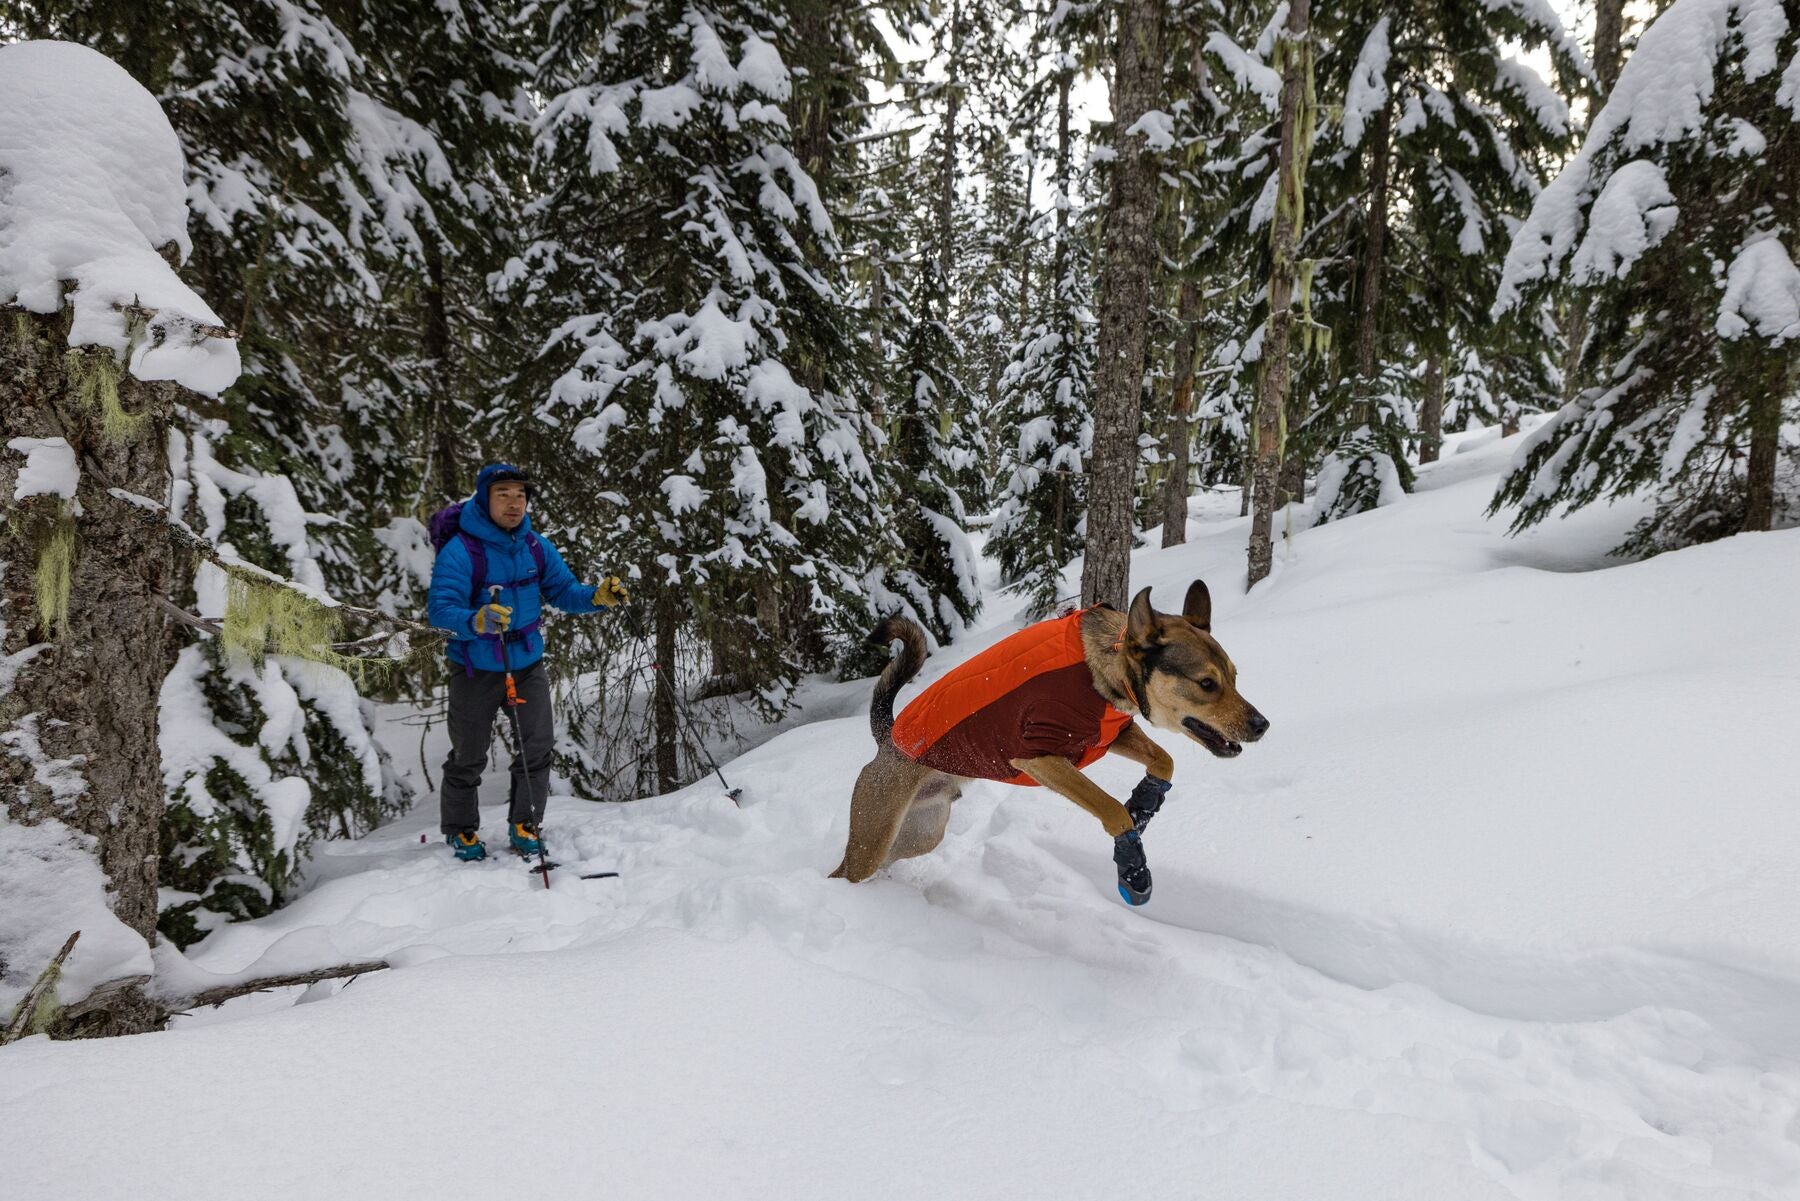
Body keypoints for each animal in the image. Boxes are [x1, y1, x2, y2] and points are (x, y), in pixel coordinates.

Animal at [830, 579, 1269, 904]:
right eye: (1207, 684)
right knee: (847, 870)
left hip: (920, 833)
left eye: (1234, 676)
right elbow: (1110, 808)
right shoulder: (1041, 757)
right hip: (875, 835)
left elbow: (1164, 761)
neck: (1104, 665)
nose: (1262, 725)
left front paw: (1145, 802)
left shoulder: (1111, 734)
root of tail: (887, 739)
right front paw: (1131, 862)